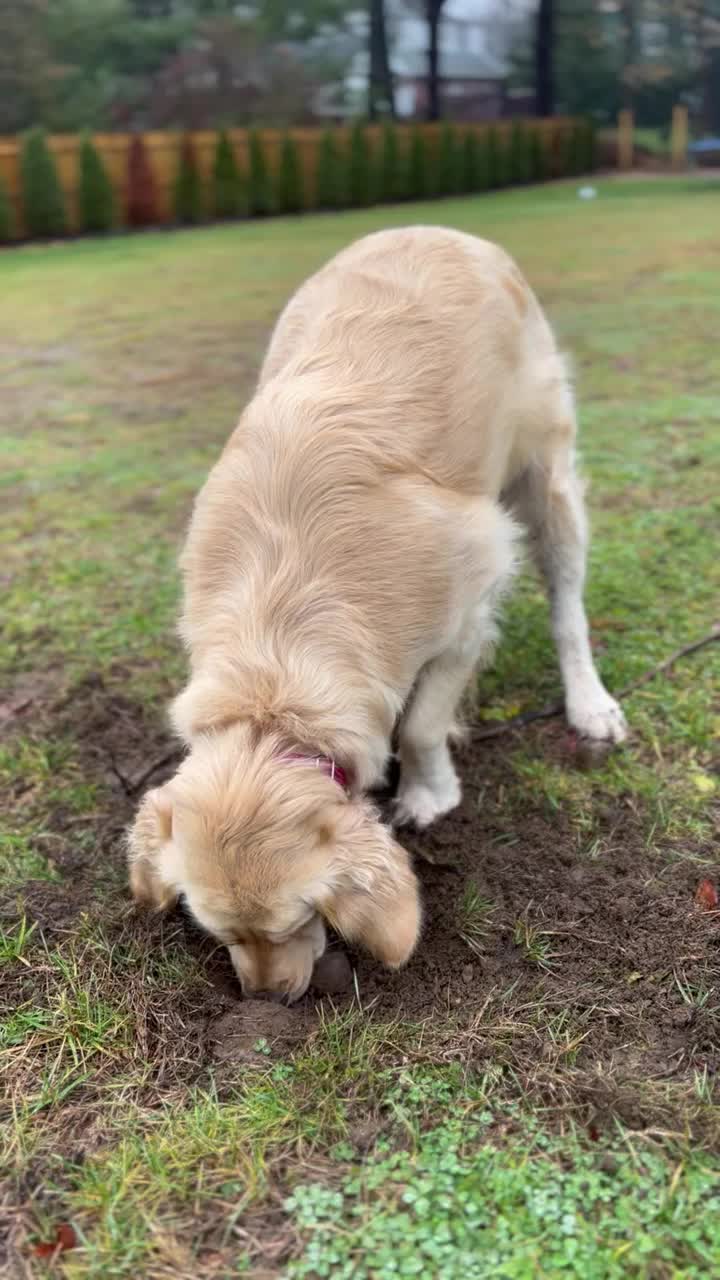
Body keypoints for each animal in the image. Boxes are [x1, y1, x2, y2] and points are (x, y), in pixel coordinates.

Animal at [126, 227, 625, 998]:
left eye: (300, 920)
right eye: (219, 932)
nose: (268, 999)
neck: (275, 681)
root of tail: (441, 230)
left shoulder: (472, 593)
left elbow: (419, 722)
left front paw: (428, 793)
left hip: (547, 477)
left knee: (567, 605)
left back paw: (589, 703)